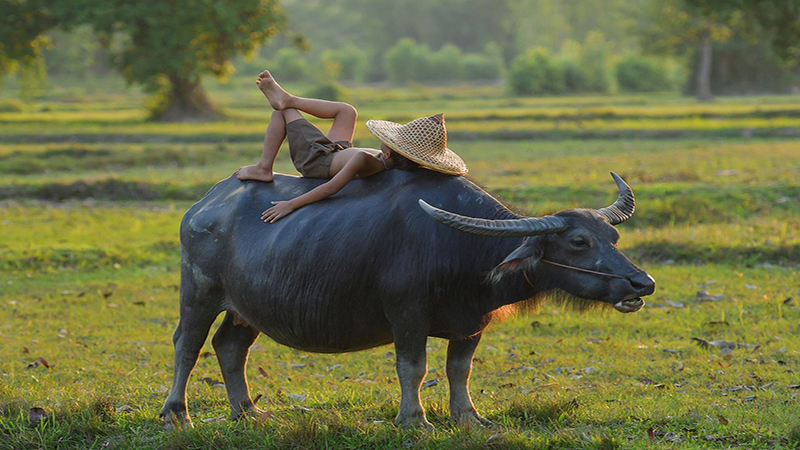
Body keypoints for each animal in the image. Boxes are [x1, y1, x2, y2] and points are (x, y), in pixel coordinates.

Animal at [161, 170, 656, 428]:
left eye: (612, 237)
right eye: (577, 242)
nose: (642, 284)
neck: (461, 250)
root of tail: (204, 205)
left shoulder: (472, 323)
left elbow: (460, 370)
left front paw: (468, 417)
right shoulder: (407, 315)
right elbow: (413, 368)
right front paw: (414, 420)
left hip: (246, 309)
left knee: (230, 347)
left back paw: (249, 413)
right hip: (199, 292)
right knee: (188, 345)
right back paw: (177, 414)